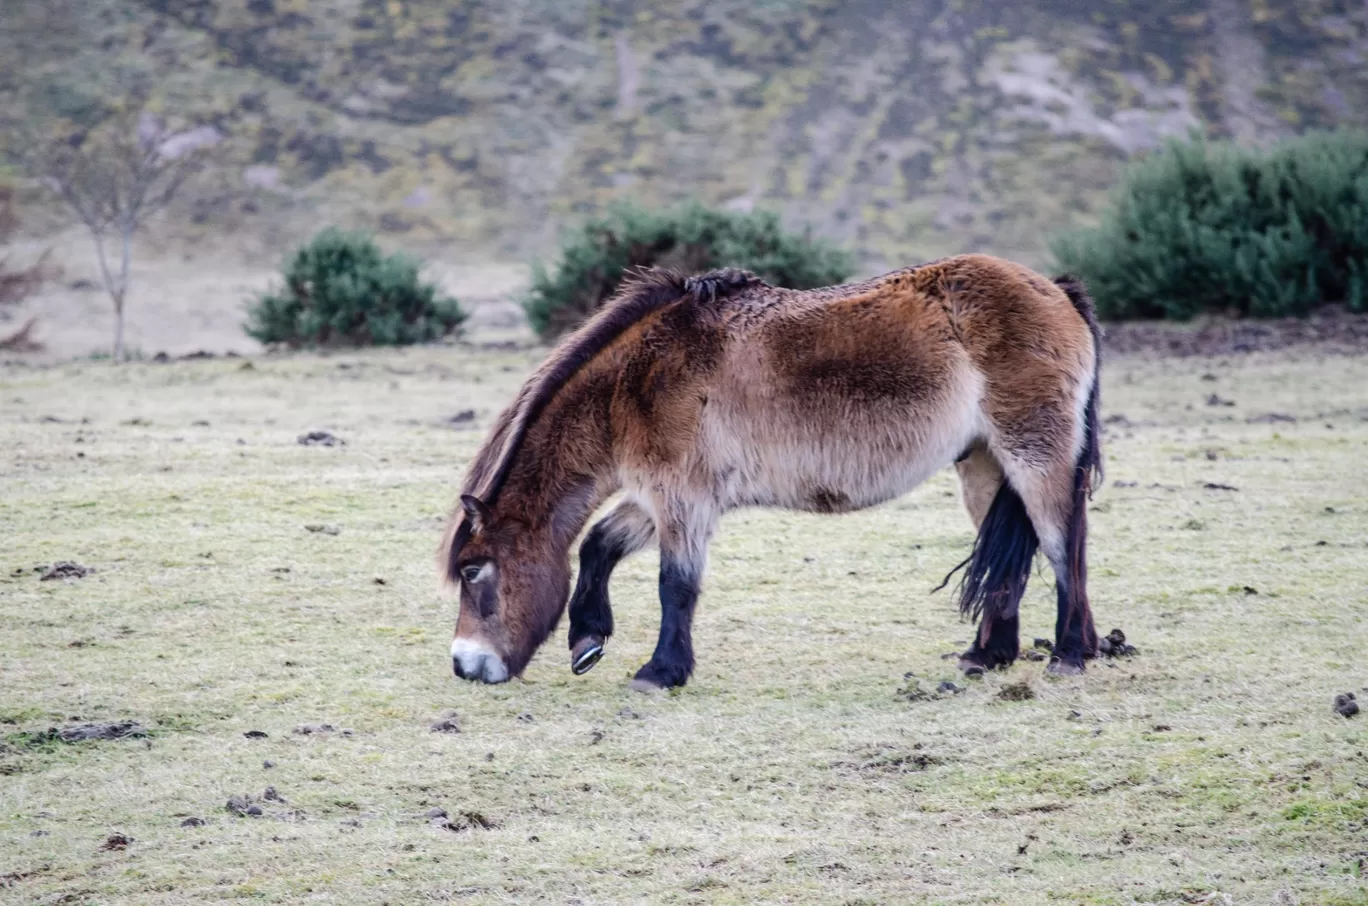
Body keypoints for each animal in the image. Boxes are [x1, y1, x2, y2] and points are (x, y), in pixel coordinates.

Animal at [437, 255, 1099, 695]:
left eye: (472, 570)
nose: (463, 666)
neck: (635, 380)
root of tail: (1057, 290)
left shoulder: (683, 498)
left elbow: (675, 585)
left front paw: (660, 671)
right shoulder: (663, 497)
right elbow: (599, 544)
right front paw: (588, 639)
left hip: (1033, 453)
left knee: (1064, 543)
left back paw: (1070, 653)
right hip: (984, 463)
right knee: (1017, 557)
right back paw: (989, 656)